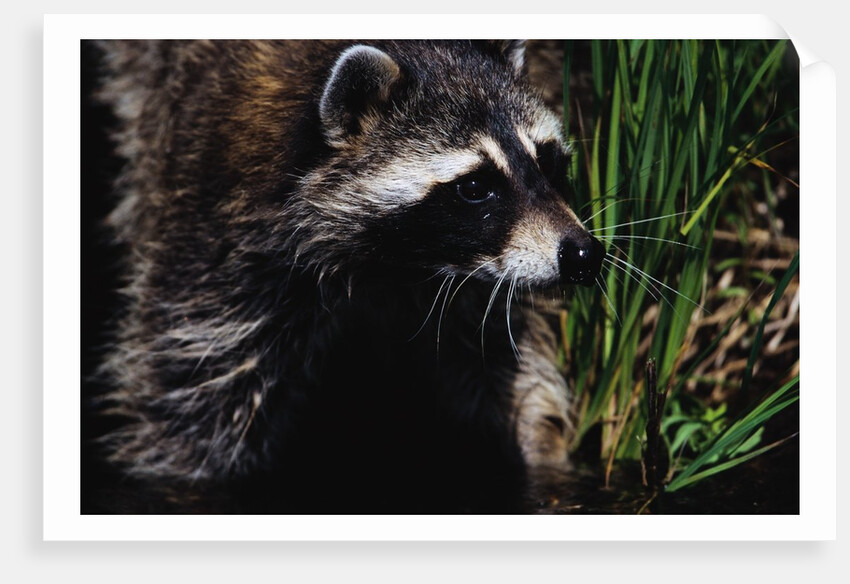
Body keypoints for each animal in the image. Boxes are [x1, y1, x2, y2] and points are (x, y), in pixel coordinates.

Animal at [84, 40, 605, 513]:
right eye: (475, 186)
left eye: (548, 162)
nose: (583, 254)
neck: (398, 262)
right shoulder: (218, 222)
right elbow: (193, 394)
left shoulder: (474, 273)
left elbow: (502, 351)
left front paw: (542, 448)